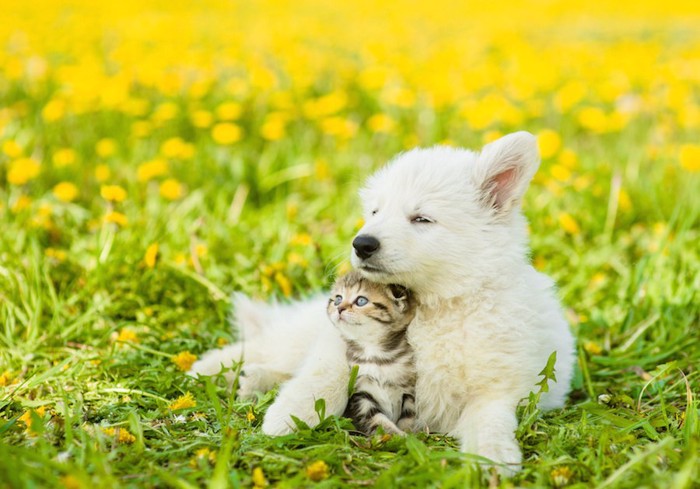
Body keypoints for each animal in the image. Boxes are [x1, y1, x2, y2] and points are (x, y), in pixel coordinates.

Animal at [326, 270, 418, 434]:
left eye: (361, 301)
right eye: (337, 299)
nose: (339, 308)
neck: (376, 355)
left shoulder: (410, 388)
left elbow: (410, 415)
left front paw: (408, 433)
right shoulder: (360, 394)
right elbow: (376, 420)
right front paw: (395, 434)